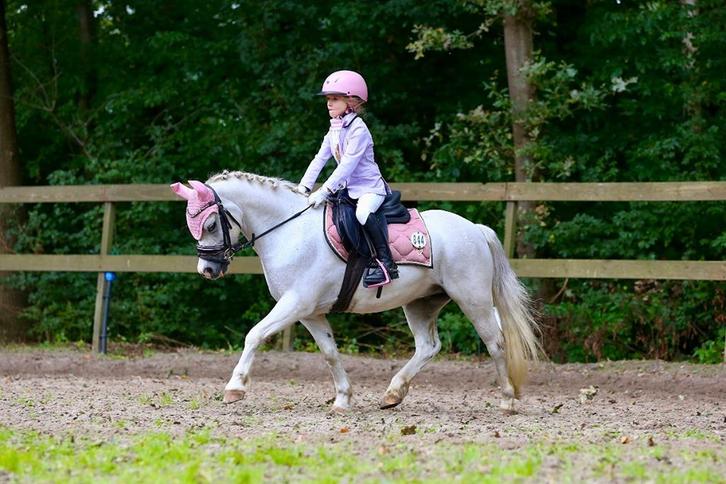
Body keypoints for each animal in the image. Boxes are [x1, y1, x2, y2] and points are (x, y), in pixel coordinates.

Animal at [171, 171, 541, 412]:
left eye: (210, 223)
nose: (207, 270)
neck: (289, 231)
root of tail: (475, 229)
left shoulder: (295, 304)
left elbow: (254, 335)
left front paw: (235, 388)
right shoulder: (311, 313)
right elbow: (330, 353)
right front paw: (342, 399)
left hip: (472, 299)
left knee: (495, 342)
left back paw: (507, 400)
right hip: (421, 303)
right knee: (428, 346)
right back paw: (393, 394)